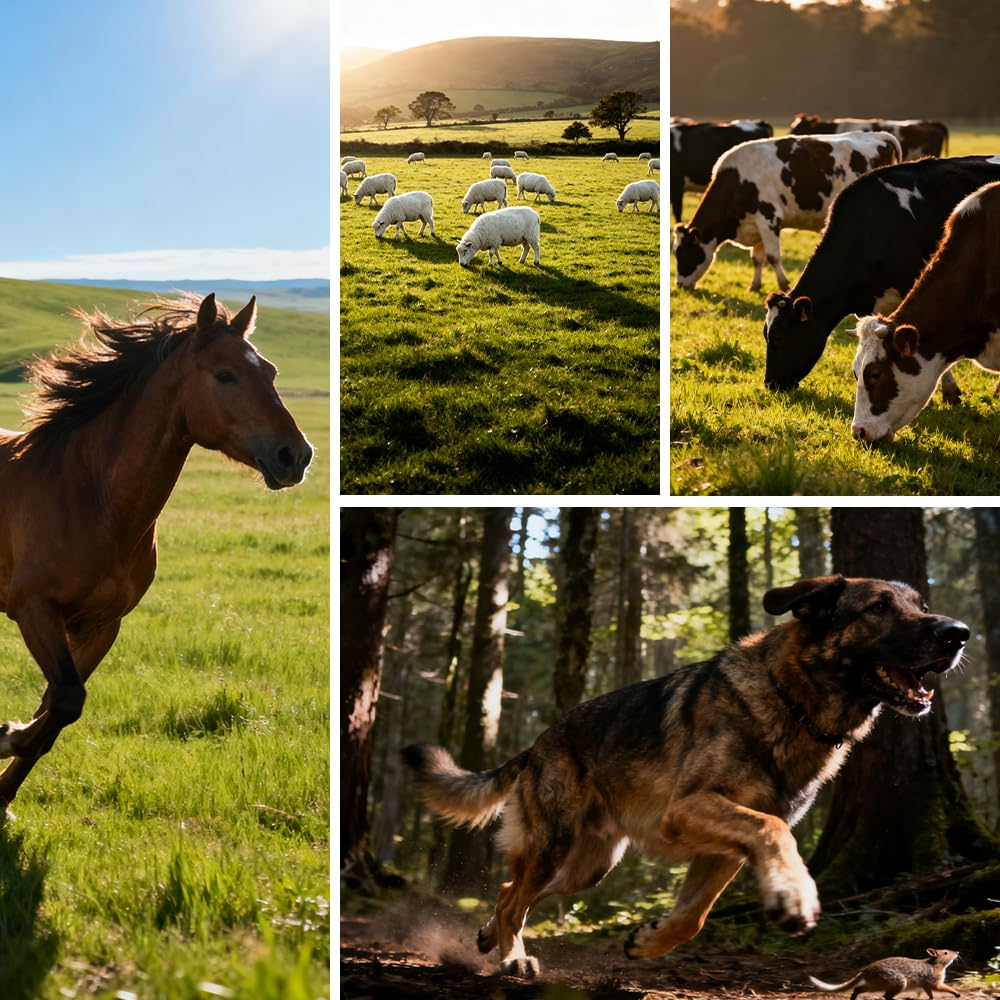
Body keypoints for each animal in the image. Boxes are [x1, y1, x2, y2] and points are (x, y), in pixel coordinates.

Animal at [0, 292, 313, 813]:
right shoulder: (33, 608)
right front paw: (6, 734)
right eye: (224, 375)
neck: (90, 496)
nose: (296, 455)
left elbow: (57, 710)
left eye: (269, 371)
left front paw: (4, 790)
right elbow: (64, 699)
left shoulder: (101, 626)